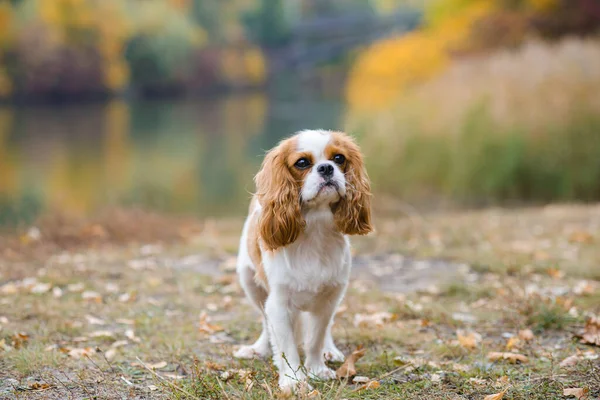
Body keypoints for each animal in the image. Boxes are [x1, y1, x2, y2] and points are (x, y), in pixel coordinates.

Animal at [233, 130, 370, 392]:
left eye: (339, 158)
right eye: (302, 163)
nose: (326, 168)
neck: (316, 228)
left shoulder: (328, 299)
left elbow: (316, 337)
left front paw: (317, 369)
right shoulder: (279, 304)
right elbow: (286, 345)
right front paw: (293, 379)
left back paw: (330, 350)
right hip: (250, 283)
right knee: (265, 323)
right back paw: (259, 348)